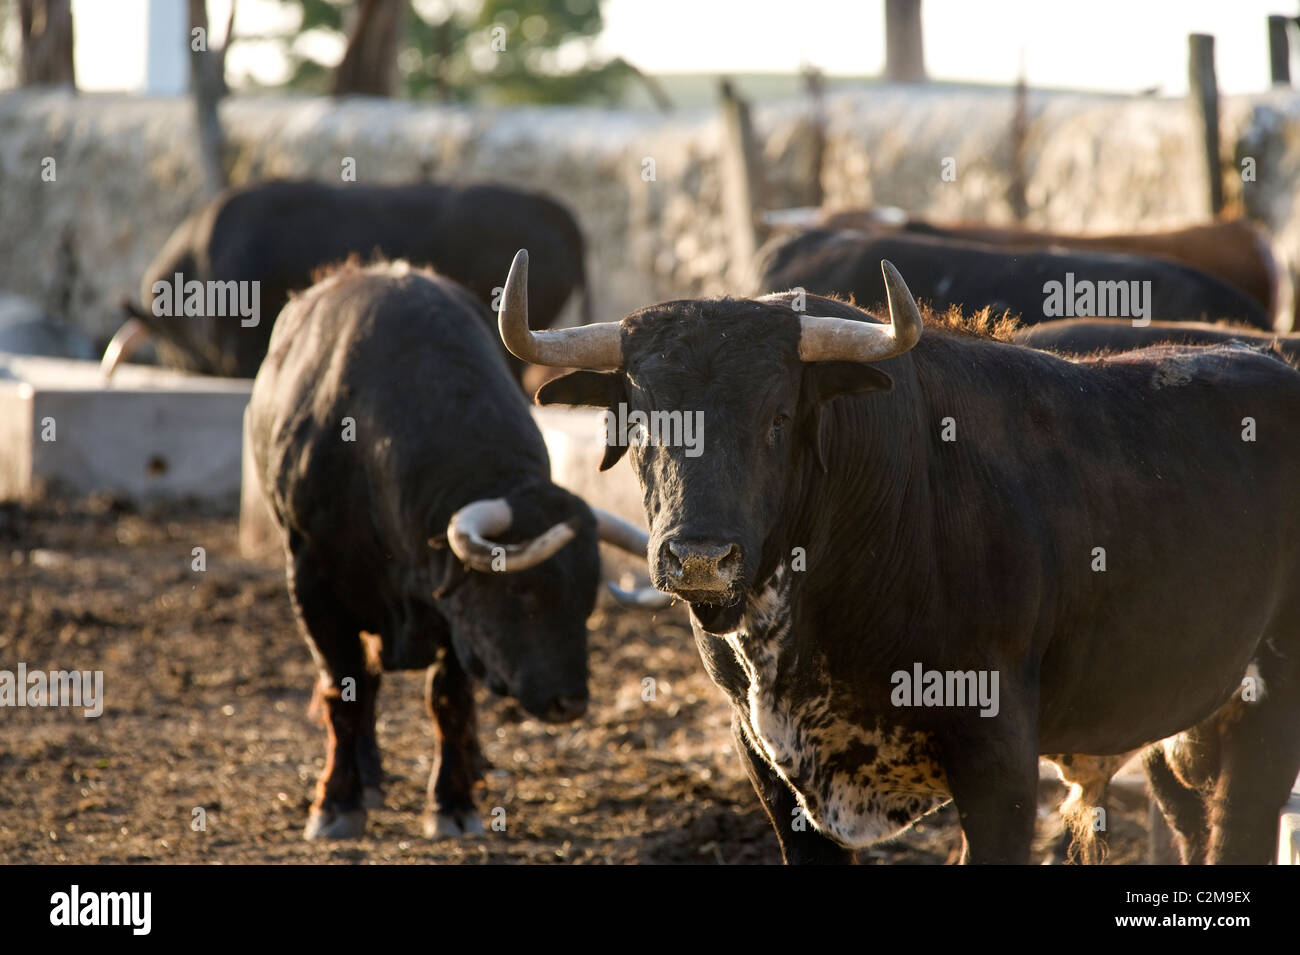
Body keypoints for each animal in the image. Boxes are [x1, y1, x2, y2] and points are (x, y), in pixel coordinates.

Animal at [245, 259, 650, 836]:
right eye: (522, 591)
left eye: (588, 596)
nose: (568, 703)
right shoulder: (311, 581)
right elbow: (344, 687)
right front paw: (337, 803)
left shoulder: (454, 608)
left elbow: (450, 698)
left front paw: (454, 803)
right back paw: (368, 778)